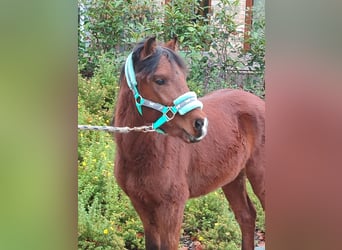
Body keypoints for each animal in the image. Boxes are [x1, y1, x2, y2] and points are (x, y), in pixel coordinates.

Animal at [113, 37, 266, 250]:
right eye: (159, 80)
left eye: (184, 77)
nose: (200, 124)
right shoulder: (142, 206)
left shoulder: (172, 208)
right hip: (233, 178)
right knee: (247, 216)